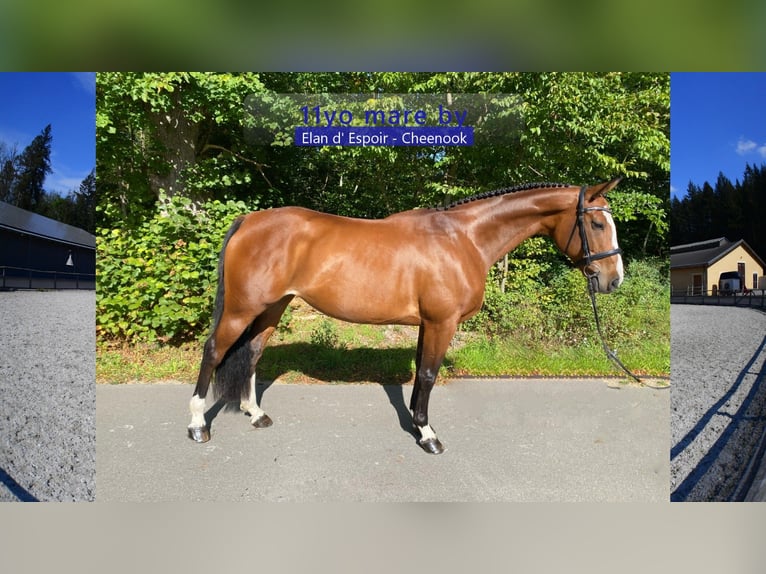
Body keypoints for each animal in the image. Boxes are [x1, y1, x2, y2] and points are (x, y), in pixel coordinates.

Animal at [187, 178, 625, 454]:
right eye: (596, 223)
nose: (614, 279)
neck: (463, 239)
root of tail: (250, 220)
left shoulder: (427, 324)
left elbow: (420, 373)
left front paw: (416, 424)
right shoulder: (442, 323)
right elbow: (429, 374)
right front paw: (429, 436)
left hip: (272, 307)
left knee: (252, 353)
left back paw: (256, 414)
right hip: (242, 308)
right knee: (213, 352)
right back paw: (197, 427)